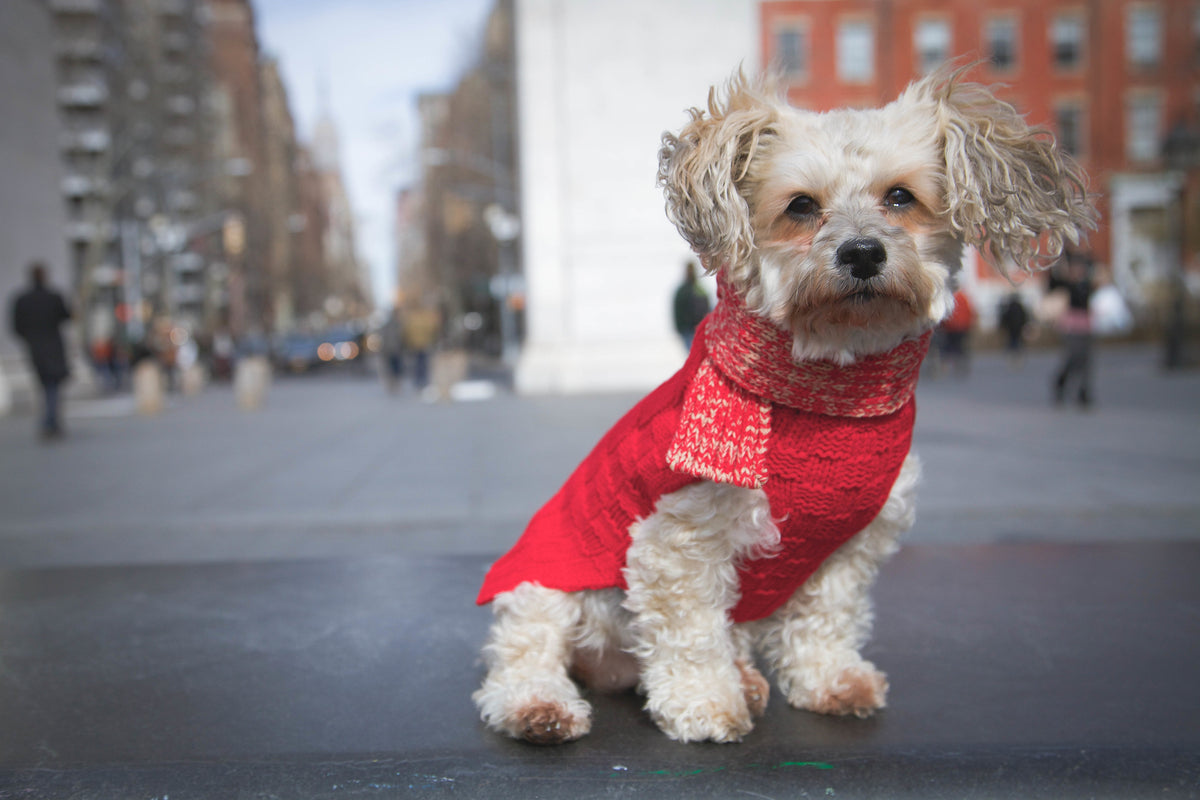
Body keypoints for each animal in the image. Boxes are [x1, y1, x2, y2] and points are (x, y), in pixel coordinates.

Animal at [472, 67, 1094, 743]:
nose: (862, 253)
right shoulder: (678, 542)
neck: (831, 397)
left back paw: (744, 677)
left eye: (900, 197)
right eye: (800, 205)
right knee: (525, 654)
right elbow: (692, 636)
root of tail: (606, 669)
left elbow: (826, 620)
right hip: (545, 588)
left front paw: (830, 681)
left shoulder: (848, 547)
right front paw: (704, 703)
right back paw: (540, 706)